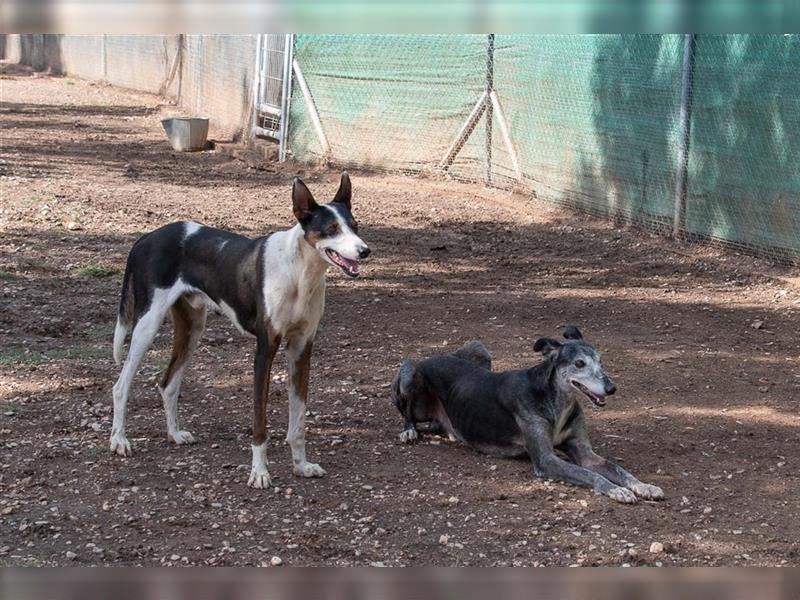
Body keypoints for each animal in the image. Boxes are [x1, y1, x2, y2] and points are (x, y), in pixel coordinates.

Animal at [109, 172, 368, 488]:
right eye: (331, 229)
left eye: (354, 226)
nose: (364, 251)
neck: (299, 273)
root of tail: (146, 237)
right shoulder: (265, 351)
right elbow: (259, 423)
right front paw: (259, 472)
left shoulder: (301, 350)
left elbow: (298, 421)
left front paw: (301, 465)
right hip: (146, 326)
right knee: (121, 386)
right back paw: (119, 440)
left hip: (192, 329)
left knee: (168, 383)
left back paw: (174, 434)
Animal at [390, 326, 664, 504]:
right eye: (579, 364)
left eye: (601, 361)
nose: (611, 388)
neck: (556, 400)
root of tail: (431, 356)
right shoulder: (546, 459)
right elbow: (591, 474)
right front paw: (618, 491)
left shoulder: (584, 453)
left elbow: (617, 469)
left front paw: (644, 486)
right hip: (410, 371)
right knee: (407, 412)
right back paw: (408, 431)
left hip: (480, 349)